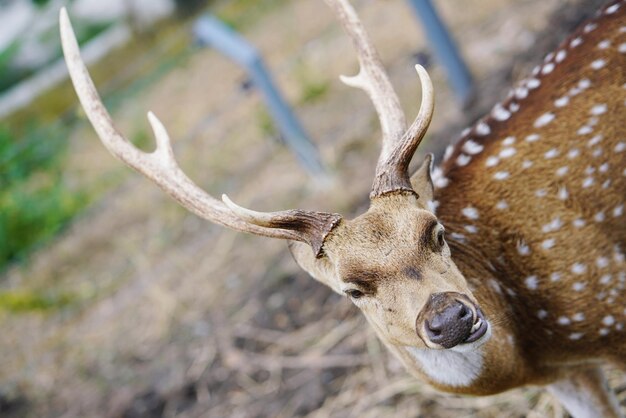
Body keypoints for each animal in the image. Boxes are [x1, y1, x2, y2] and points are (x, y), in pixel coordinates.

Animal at [59, 0, 624, 416]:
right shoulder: (569, 372)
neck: (535, 345)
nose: (449, 319)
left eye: (436, 230)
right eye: (353, 289)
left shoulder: (606, 302)